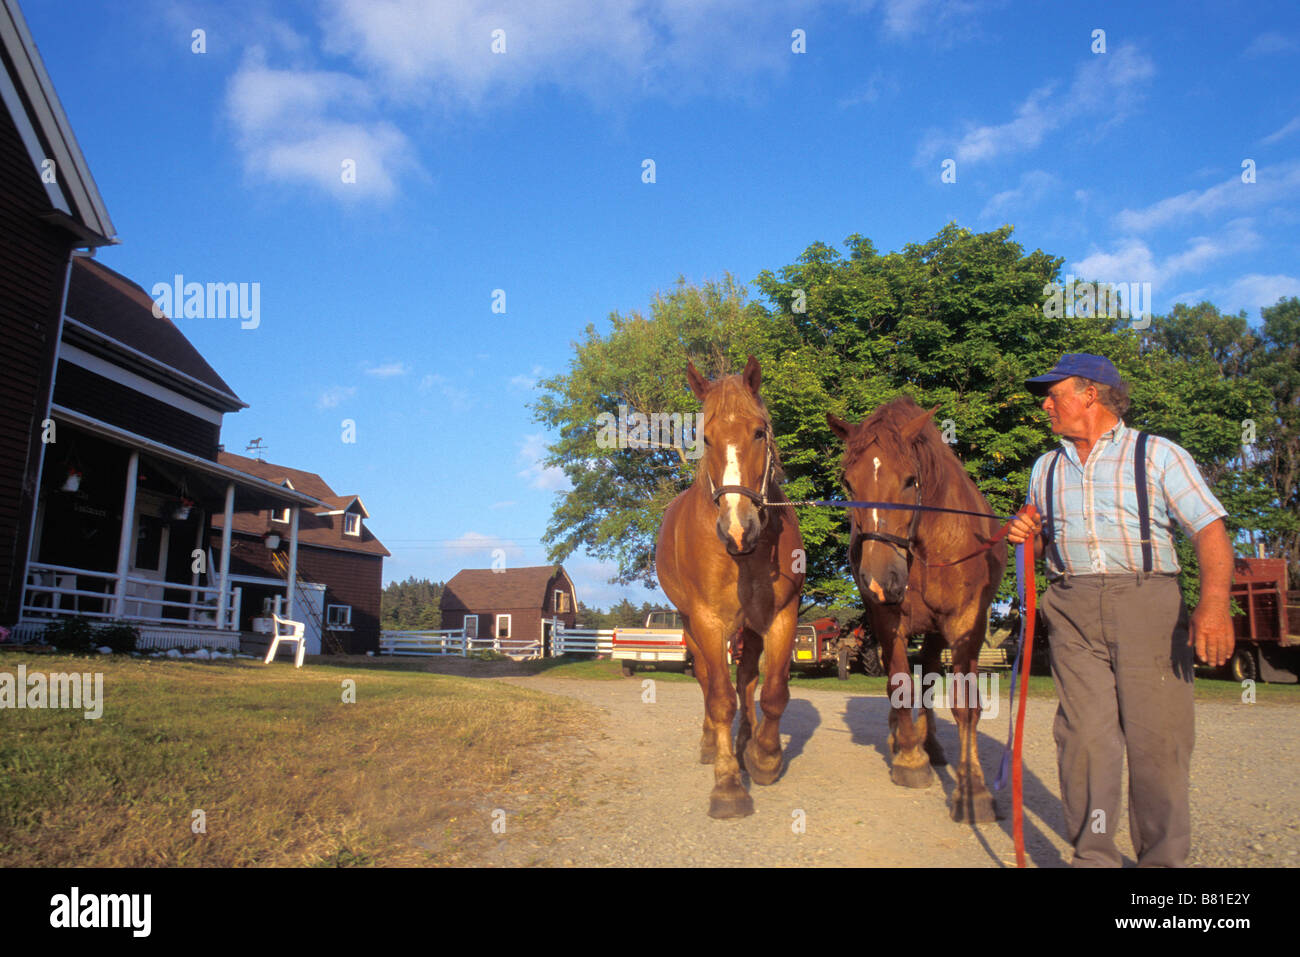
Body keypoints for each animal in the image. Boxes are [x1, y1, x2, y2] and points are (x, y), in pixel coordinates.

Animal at [660, 356, 800, 816]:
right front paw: (727, 784)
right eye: (704, 437)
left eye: (759, 431)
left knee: (748, 682)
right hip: (692, 625)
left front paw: (764, 757)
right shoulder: (707, 620)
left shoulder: (780, 615)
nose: (738, 529)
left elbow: (771, 692)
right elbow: (720, 698)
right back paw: (713, 746)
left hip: (750, 627)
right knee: (708, 682)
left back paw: (746, 744)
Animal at [832, 395, 1003, 821]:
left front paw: (973, 790)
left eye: (911, 480)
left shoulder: (967, 624)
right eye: (848, 483)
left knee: (929, 679)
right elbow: (899, 685)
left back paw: (935, 746)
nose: (880, 579)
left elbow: (965, 703)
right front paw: (910, 760)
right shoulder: (887, 618)